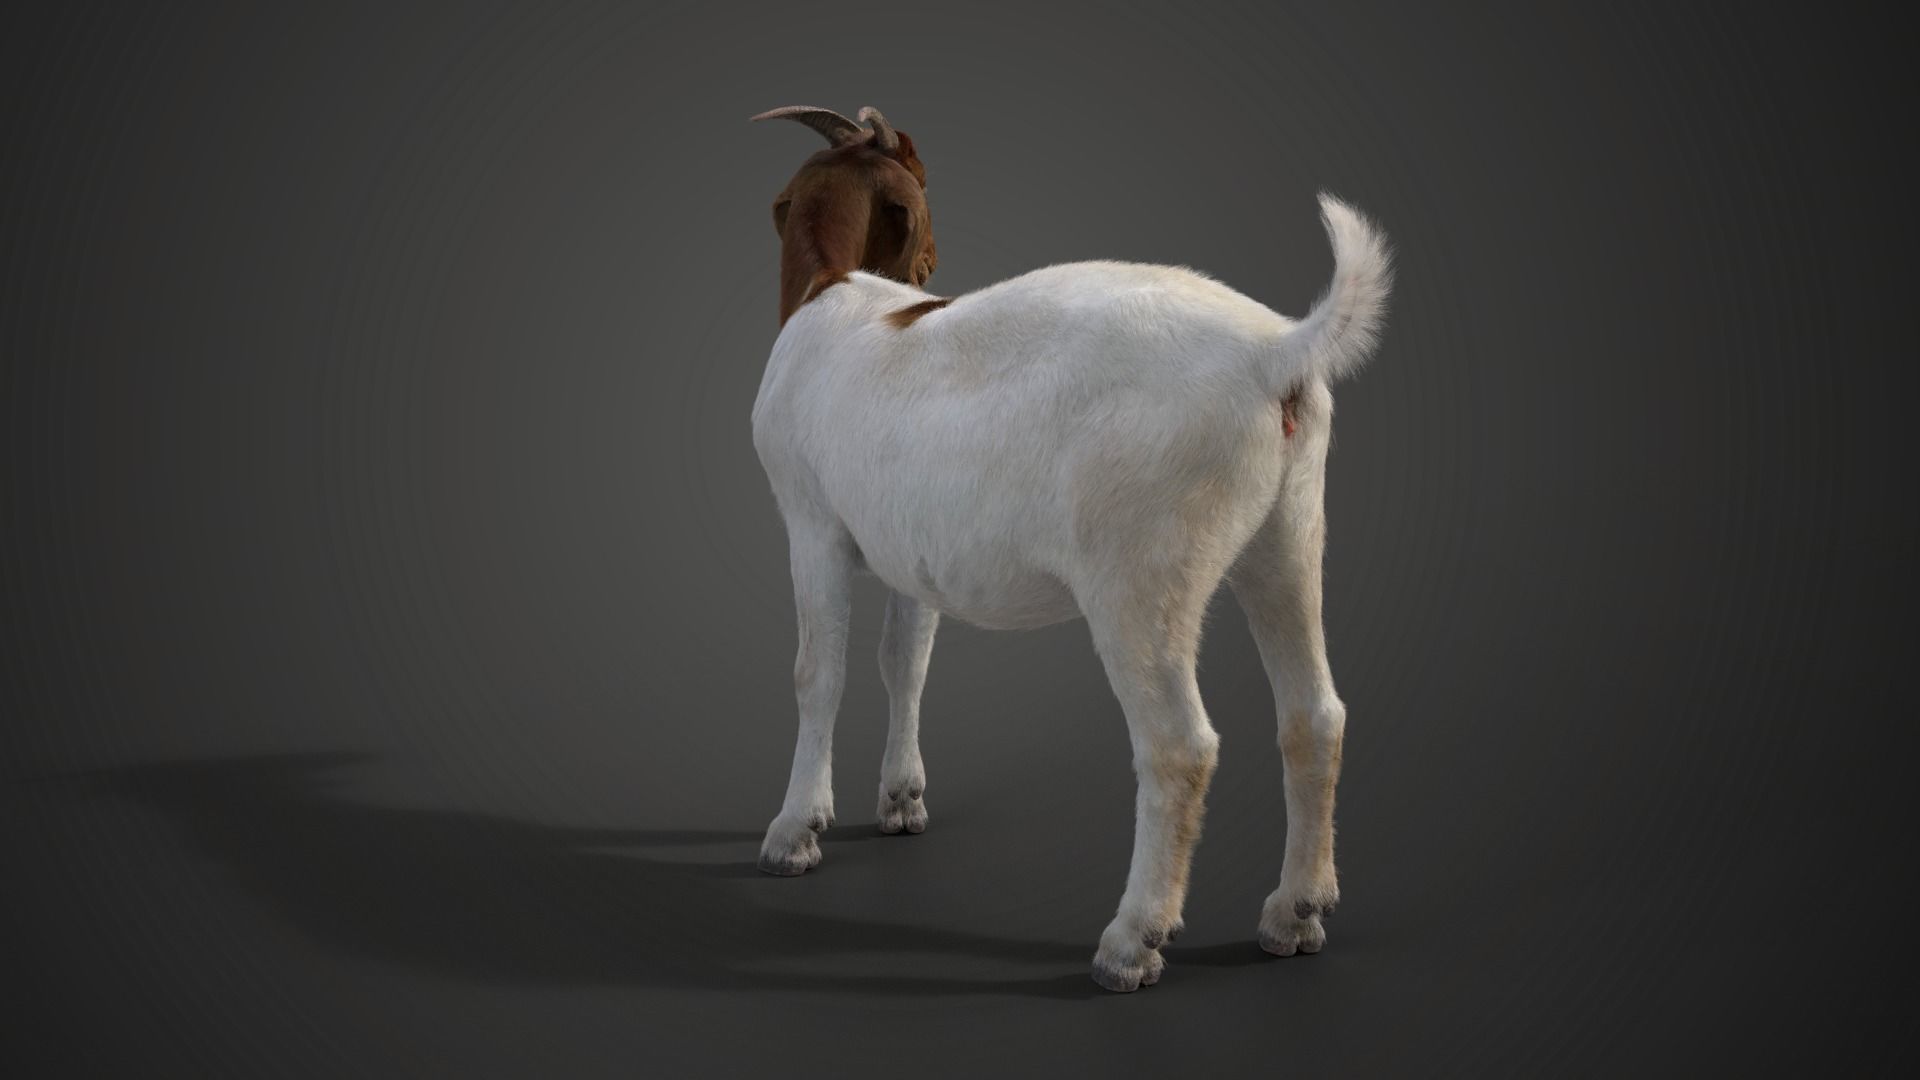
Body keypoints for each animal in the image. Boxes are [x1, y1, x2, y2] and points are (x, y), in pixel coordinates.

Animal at [748, 105, 1392, 992]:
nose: (933, 267)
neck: (830, 293)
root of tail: (1277, 352)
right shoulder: (911, 551)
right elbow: (903, 663)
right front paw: (901, 803)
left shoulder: (809, 519)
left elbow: (819, 673)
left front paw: (792, 832)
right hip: (1288, 533)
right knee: (1314, 716)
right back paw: (1294, 914)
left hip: (1142, 568)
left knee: (1178, 746)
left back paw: (1131, 941)